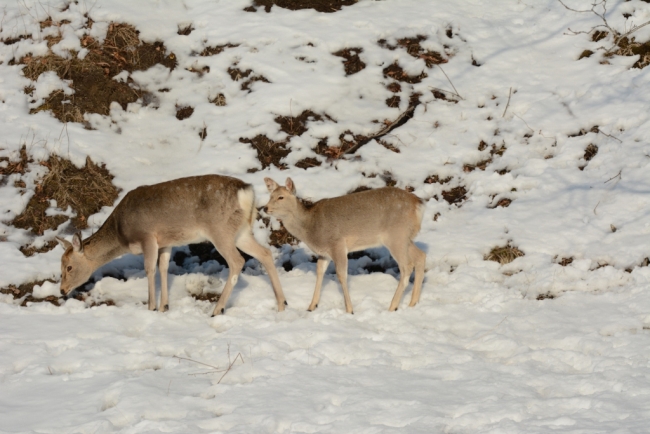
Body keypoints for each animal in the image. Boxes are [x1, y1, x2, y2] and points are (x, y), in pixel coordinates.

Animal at [56, 174, 286, 316]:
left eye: (68, 267)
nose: (62, 290)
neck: (122, 233)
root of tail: (247, 192)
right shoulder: (165, 242)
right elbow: (163, 267)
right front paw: (164, 307)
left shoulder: (147, 236)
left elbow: (149, 269)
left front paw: (150, 308)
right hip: (242, 232)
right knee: (265, 253)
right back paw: (282, 303)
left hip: (220, 230)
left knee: (237, 261)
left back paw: (217, 309)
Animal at [264, 178, 426, 314]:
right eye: (270, 195)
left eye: (281, 197)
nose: (265, 208)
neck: (310, 228)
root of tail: (418, 204)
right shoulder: (324, 253)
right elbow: (319, 271)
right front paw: (311, 306)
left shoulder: (337, 244)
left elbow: (341, 275)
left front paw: (349, 310)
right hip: (405, 238)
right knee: (421, 256)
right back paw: (413, 303)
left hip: (396, 235)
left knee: (407, 266)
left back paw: (392, 306)